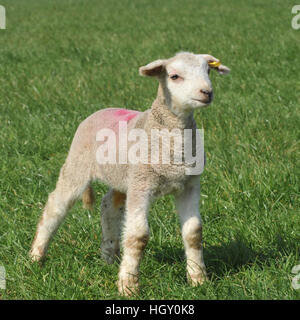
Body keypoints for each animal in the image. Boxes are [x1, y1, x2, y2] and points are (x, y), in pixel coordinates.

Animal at [29, 51, 230, 296]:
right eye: (174, 76)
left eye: (208, 70)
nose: (206, 92)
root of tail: (101, 110)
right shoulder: (141, 185)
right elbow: (138, 236)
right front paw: (129, 286)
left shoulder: (189, 185)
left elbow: (194, 233)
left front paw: (199, 280)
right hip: (78, 165)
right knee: (55, 206)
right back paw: (36, 257)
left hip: (122, 177)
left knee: (108, 206)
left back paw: (109, 256)